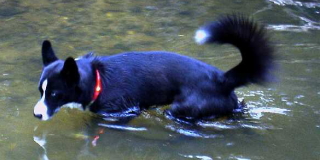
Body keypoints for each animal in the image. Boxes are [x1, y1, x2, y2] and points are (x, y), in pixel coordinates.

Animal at [32, 15, 274, 122]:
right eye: (40, 91)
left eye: (54, 94)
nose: (36, 114)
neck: (98, 79)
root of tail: (223, 79)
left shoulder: (120, 113)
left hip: (181, 109)